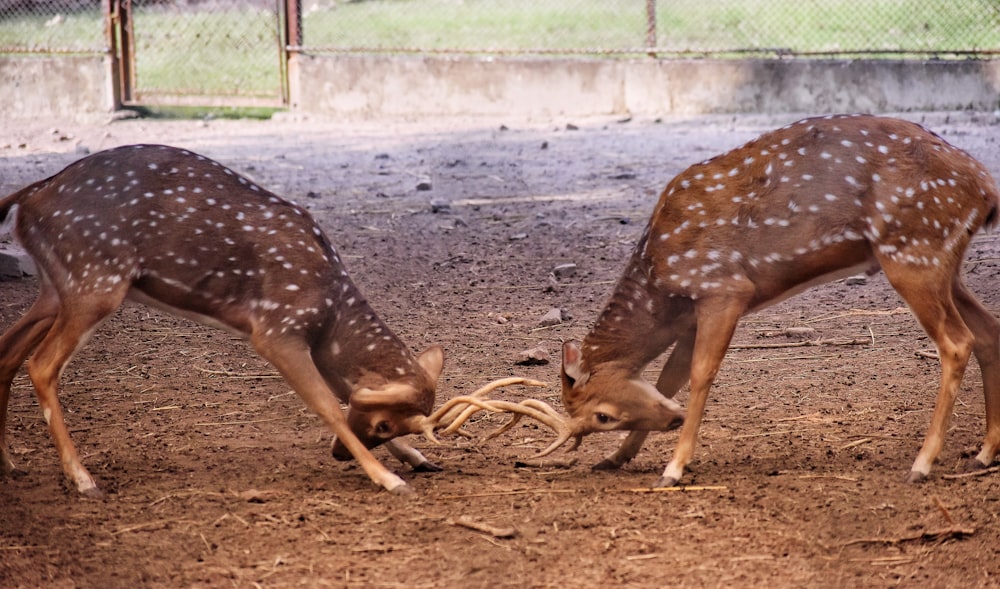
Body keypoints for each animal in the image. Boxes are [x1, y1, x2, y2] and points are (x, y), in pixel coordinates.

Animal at [0, 144, 540, 496]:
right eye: (385, 424)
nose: (339, 456)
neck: (328, 313)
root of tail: (28, 198)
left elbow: (343, 391)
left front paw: (419, 459)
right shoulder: (275, 330)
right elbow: (327, 403)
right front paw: (389, 479)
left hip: (56, 286)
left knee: (7, 351)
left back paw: (9, 464)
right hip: (94, 279)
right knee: (41, 365)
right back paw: (83, 479)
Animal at [520, 113, 996, 486]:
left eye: (602, 415)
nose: (671, 420)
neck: (661, 282)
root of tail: (987, 190)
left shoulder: (724, 288)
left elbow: (701, 375)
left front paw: (674, 467)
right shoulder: (690, 317)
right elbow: (667, 381)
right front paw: (615, 458)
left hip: (913, 250)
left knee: (957, 342)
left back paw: (923, 463)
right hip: (943, 260)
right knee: (989, 331)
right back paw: (984, 453)